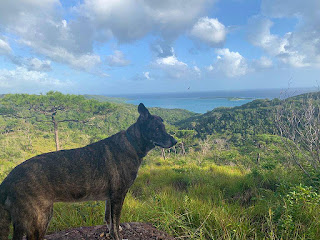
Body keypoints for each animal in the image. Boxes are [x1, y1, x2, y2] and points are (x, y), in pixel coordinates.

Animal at [0, 103, 178, 240]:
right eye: (156, 128)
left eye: (163, 127)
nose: (175, 141)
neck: (132, 143)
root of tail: (8, 180)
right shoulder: (118, 195)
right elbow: (115, 221)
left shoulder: (110, 198)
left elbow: (109, 220)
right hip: (40, 219)